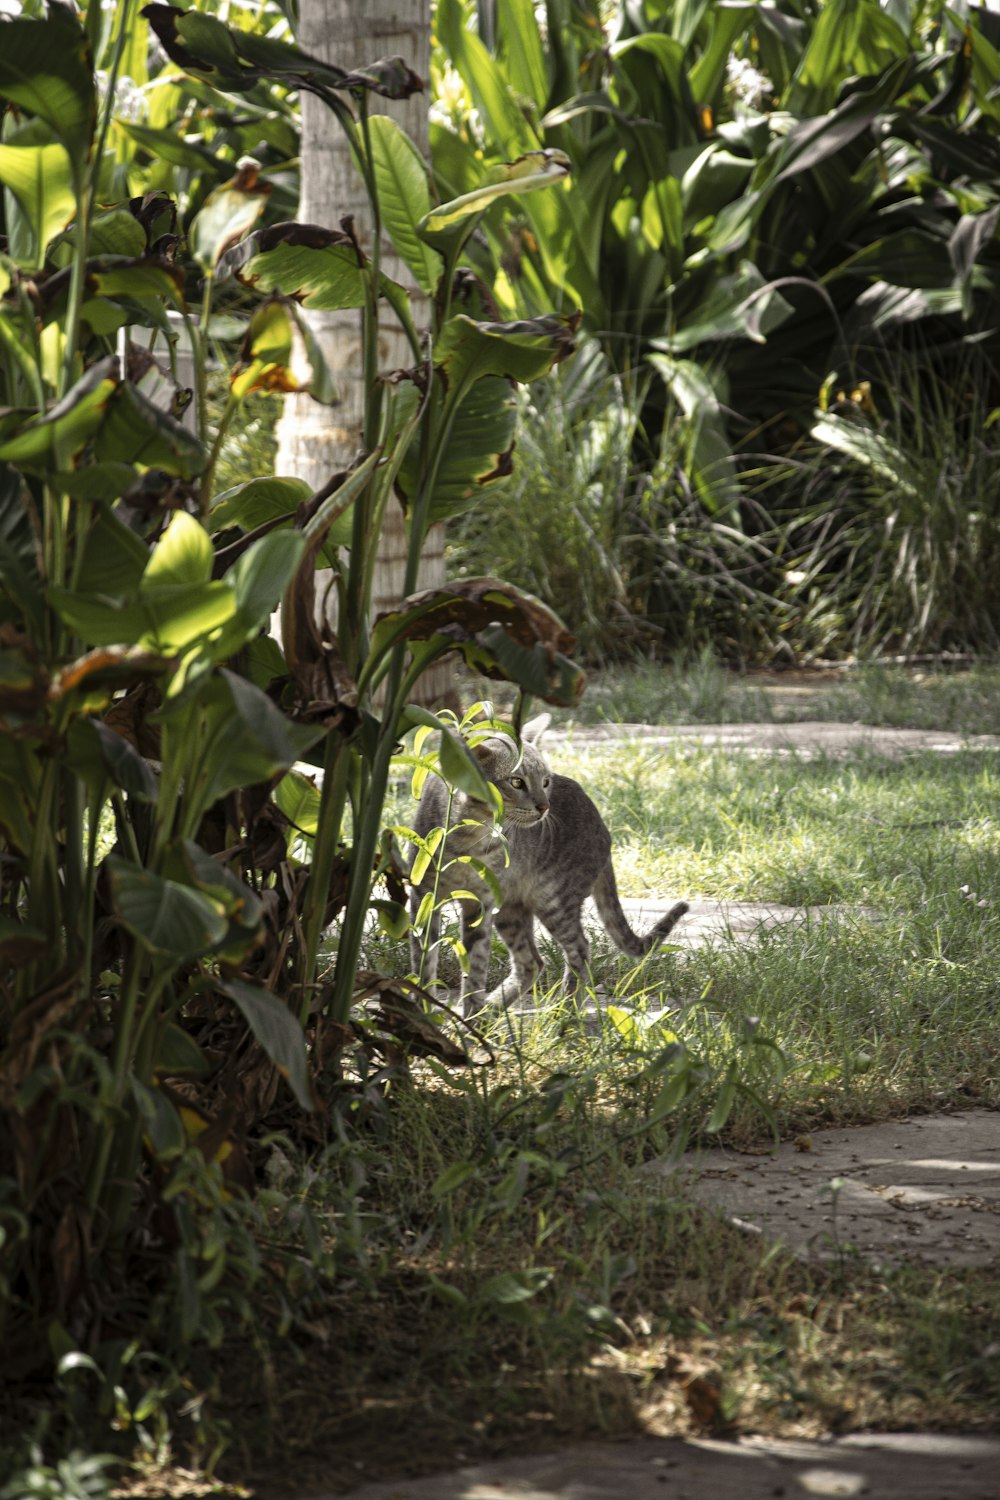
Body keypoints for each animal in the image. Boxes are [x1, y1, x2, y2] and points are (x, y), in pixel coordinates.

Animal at [407, 726, 689, 1020]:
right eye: (516, 782)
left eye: (545, 782)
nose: (544, 807)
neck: (472, 834)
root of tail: (605, 829)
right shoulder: (424, 895)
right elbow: (424, 960)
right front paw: (424, 1009)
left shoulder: (481, 902)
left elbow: (475, 965)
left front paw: (471, 1014)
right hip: (510, 910)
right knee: (532, 962)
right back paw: (494, 1007)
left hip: (553, 899)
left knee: (579, 948)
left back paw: (564, 1013)